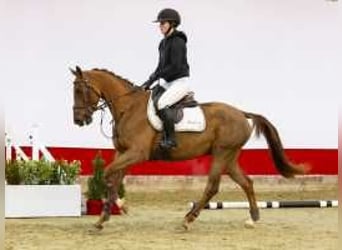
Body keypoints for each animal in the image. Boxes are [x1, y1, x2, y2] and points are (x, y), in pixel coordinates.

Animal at [71, 65, 308, 229]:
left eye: (80, 90)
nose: (79, 120)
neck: (128, 108)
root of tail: (242, 113)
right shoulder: (123, 153)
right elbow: (114, 180)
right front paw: (104, 217)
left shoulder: (136, 153)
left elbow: (107, 174)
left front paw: (117, 207)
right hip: (230, 158)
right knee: (246, 182)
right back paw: (253, 218)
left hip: (222, 154)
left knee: (212, 186)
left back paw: (188, 219)